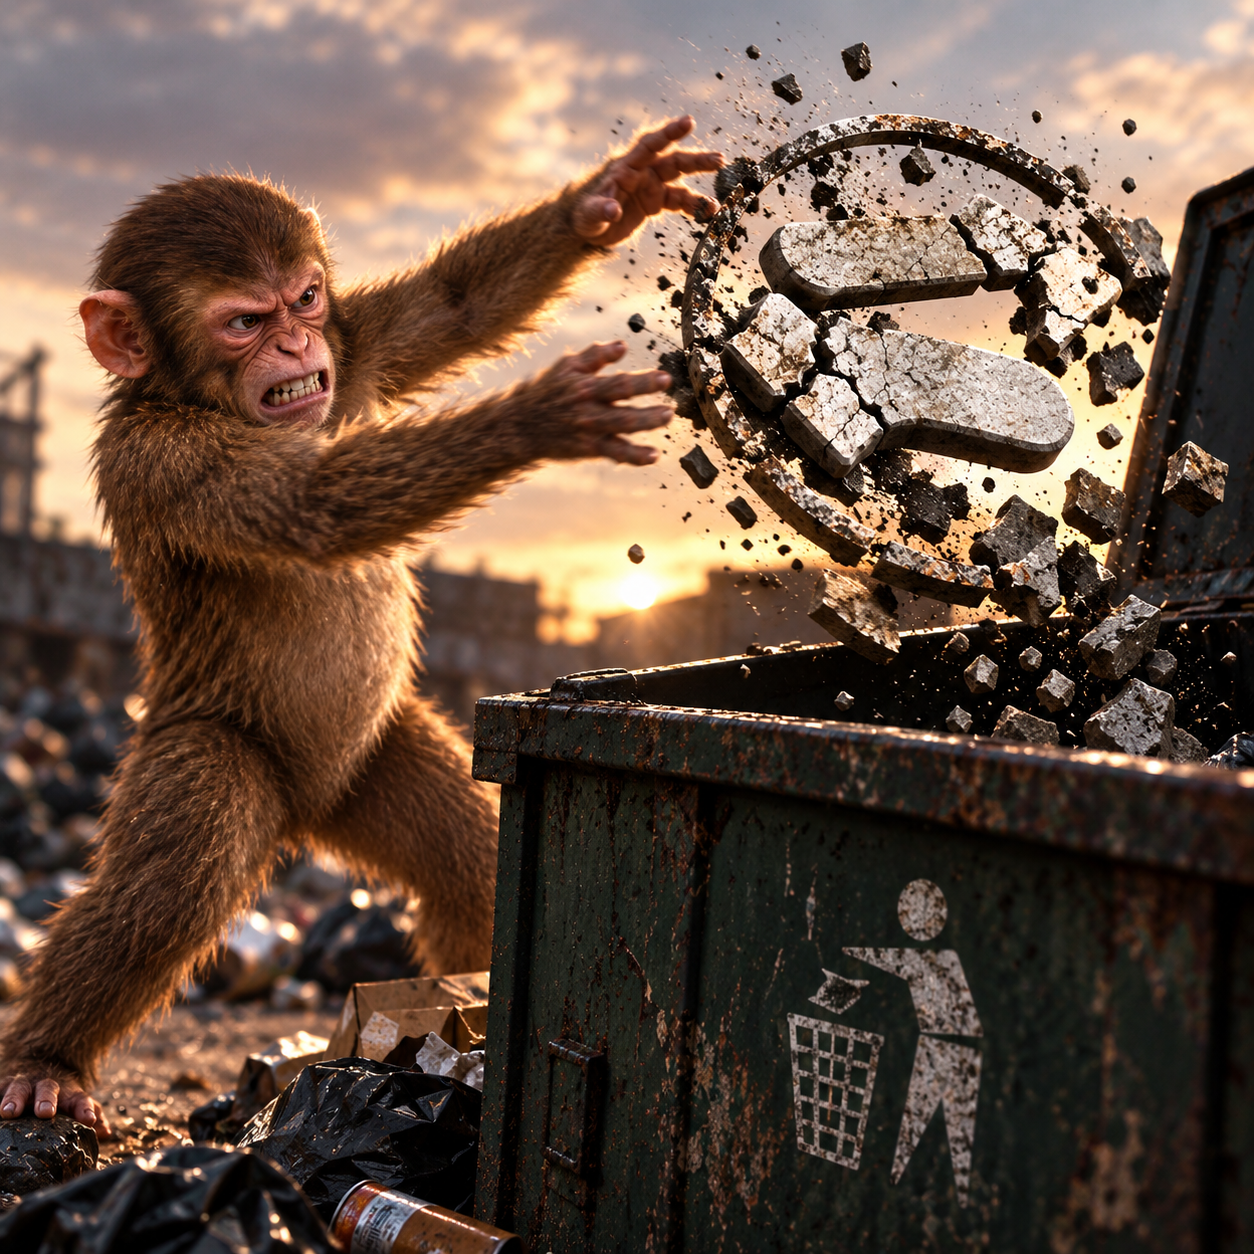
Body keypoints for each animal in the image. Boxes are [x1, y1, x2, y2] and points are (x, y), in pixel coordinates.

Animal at [0, 116, 723, 1130]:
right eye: (245, 322)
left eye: (304, 298)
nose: (295, 343)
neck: (194, 397)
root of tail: (303, 816)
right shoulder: (163, 457)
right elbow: (314, 504)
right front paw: (539, 416)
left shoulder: (358, 344)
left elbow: (452, 309)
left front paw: (609, 195)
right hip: (210, 742)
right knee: (167, 885)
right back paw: (47, 1060)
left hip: (376, 756)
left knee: (469, 856)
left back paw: (466, 994)